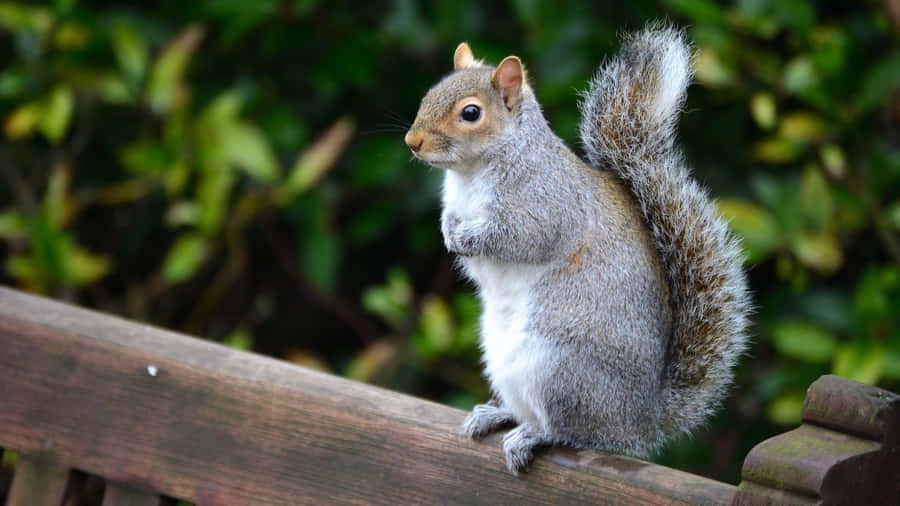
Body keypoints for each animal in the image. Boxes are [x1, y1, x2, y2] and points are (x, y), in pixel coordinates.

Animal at [404, 24, 750, 473]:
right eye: (429, 94)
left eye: (471, 113)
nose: (413, 141)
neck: (471, 174)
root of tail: (640, 421)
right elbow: (454, 223)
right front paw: (450, 233)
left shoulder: (547, 206)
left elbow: (521, 238)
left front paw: (468, 240)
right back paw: (497, 415)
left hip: (559, 372)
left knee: (574, 431)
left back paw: (534, 435)